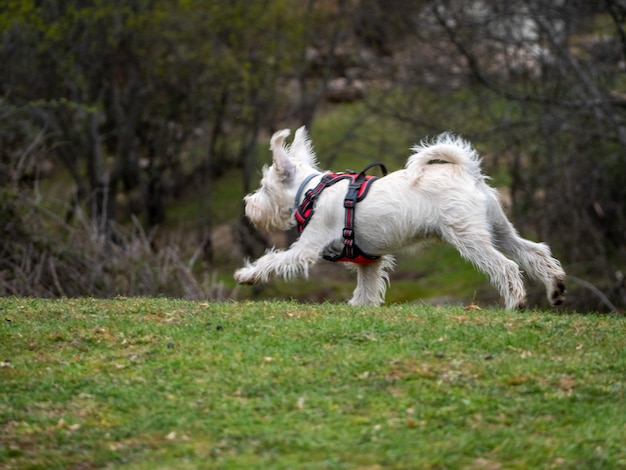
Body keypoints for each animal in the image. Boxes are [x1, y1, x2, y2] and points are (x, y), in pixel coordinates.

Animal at [234, 126, 564, 308]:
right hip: (499, 229)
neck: (311, 190)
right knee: (535, 252)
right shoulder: (370, 262)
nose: (248, 203)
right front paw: (359, 308)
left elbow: (274, 260)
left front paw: (247, 275)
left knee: (506, 266)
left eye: (265, 186)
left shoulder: (305, 249)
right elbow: (366, 290)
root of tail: (466, 170)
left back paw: (516, 302)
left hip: (469, 237)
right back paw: (556, 288)